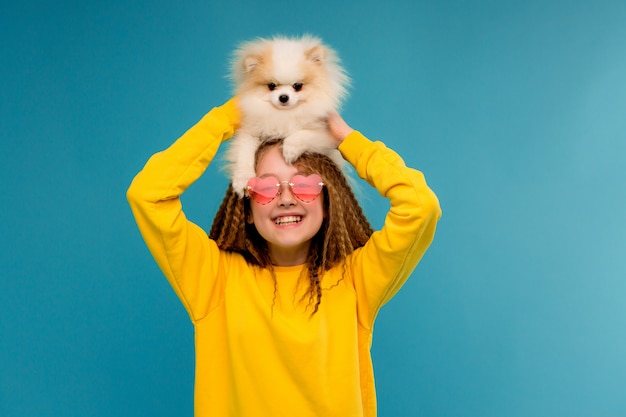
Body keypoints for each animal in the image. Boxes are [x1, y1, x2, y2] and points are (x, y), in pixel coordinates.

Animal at [223, 35, 348, 196]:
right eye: (271, 86)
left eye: (297, 86)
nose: (283, 97)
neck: (284, 115)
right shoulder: (250, 132)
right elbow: (244, 155)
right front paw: (243, 180)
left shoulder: (327, 133)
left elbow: (302, 135)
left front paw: (289, 150)